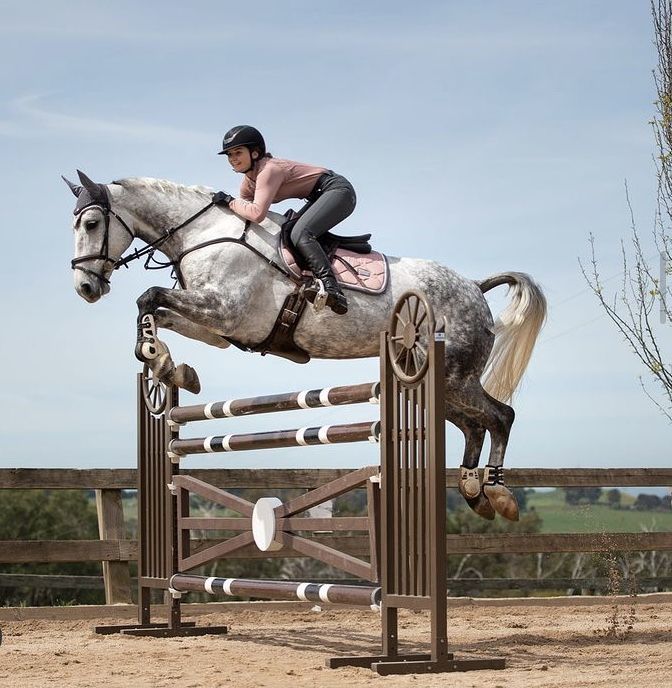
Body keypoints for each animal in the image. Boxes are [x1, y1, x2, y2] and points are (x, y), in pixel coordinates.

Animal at [64, 169, 544, 520]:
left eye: (91, 223)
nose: (85, 288)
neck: (202, 233)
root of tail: (474, 287)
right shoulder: (220, 329)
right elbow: (155, 311)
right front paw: (168, 366)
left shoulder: (225, 310)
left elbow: (149, 297)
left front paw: (157, 357)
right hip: (436, 383)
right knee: (474, 425)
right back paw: (473, 491)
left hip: (454, 376)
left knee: (501, 415)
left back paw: (499, 494)